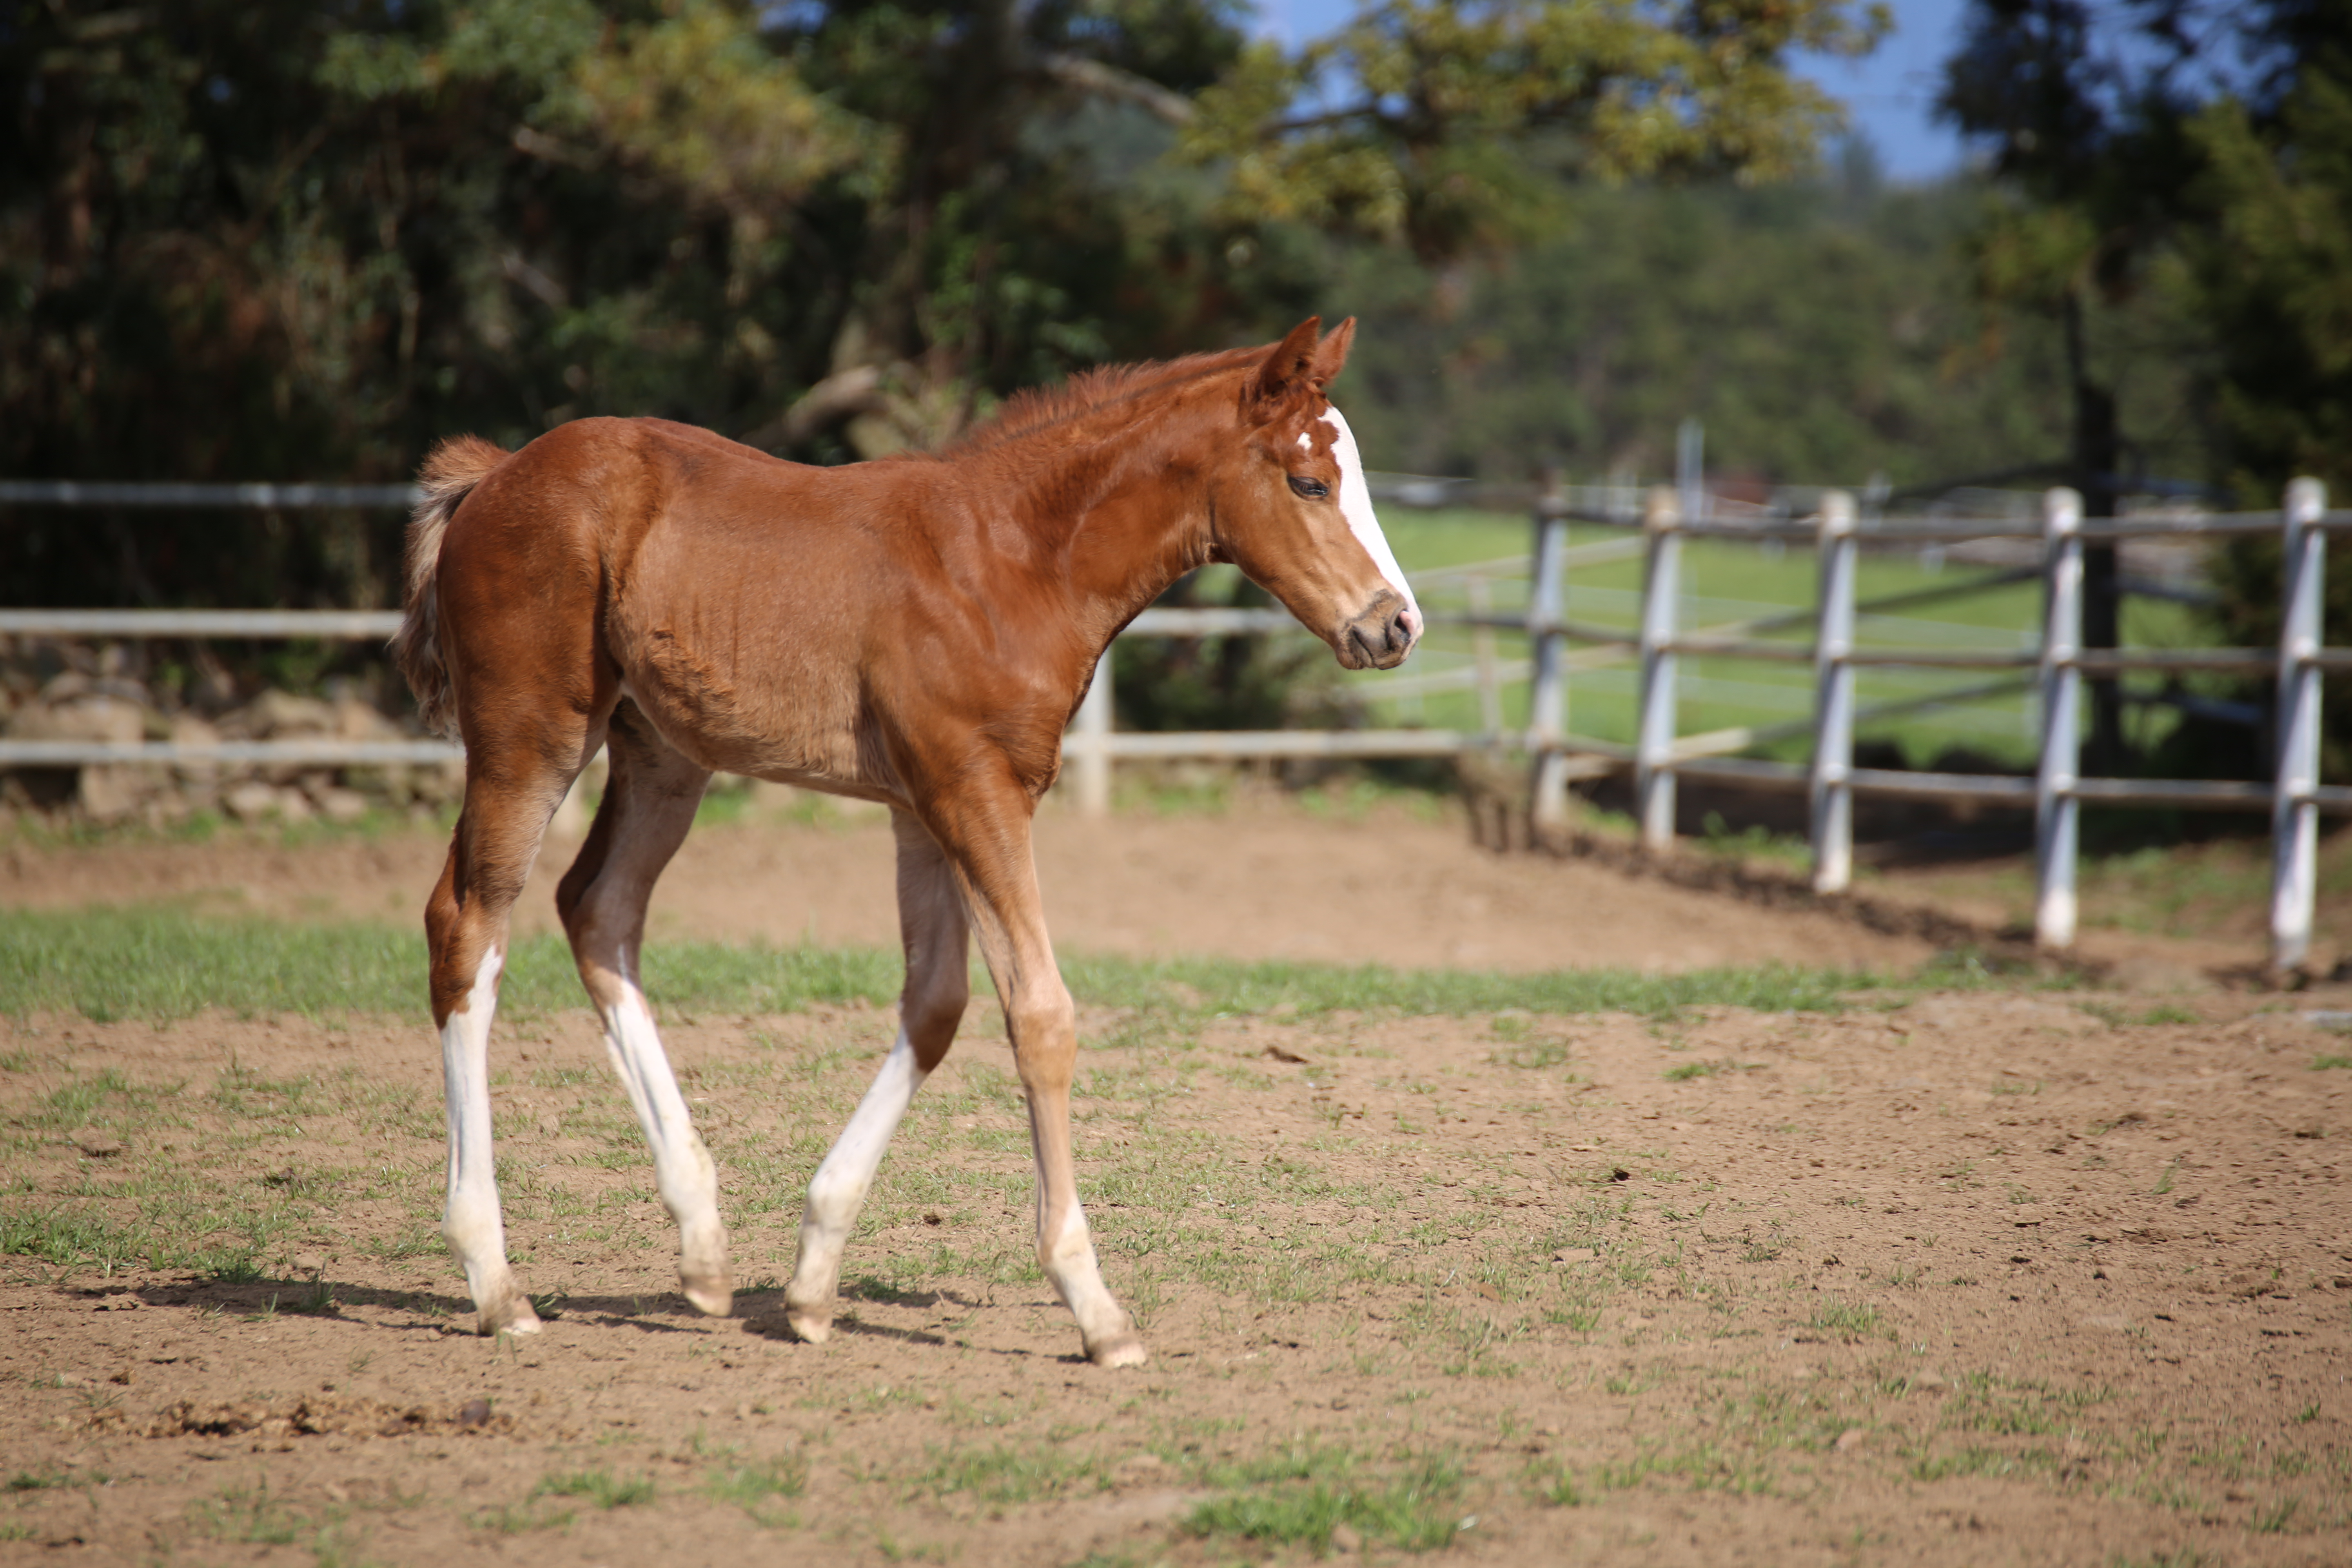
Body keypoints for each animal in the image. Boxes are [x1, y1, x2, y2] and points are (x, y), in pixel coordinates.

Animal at [395, 315, 1421, 1363]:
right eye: (1310, 482)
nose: (1395, 626)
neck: (1015, 560)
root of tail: (495, 474)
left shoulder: (922, 809)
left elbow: (934, 1006)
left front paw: (812, 1279)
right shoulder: (978, 794)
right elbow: (1040, 1016)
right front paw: (1094, 1306)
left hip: (663, 754)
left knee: (599, 911)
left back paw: (702, 1245)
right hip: (534, 735)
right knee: (468, 927)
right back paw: (495, 1280)